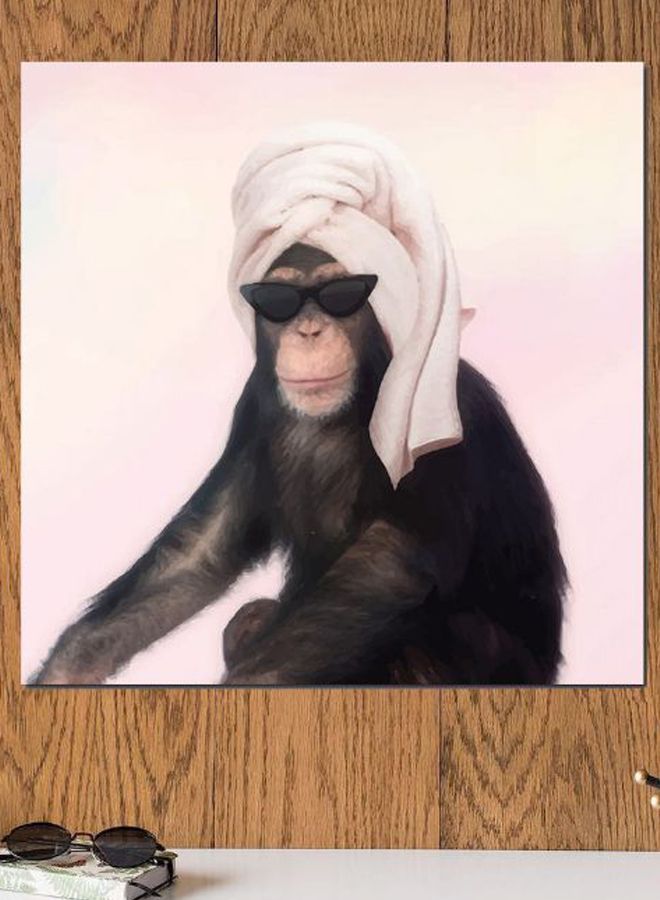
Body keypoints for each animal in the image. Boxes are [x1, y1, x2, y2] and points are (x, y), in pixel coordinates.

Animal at [31, 242, 567, 686]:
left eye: (341, 295)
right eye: (279, 300)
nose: (309, 329)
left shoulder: (440, 408)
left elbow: (389, 565)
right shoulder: (251, 408)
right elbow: (200, 553)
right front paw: (62, 673)